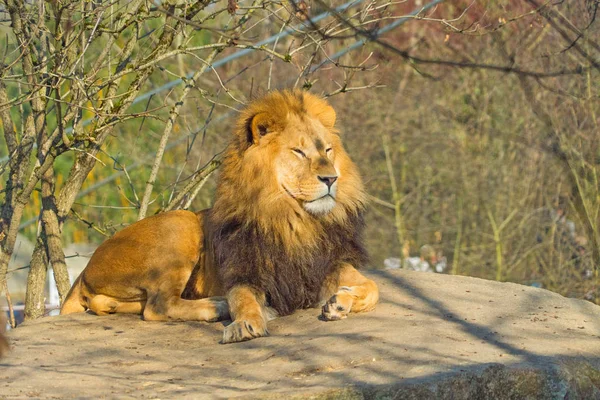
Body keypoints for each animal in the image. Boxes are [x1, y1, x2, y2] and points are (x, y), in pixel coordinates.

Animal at [62, 90, 380, 344]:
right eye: (298, 152)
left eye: (328, 149)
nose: (331, 178)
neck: (295, 220)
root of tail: (86, 267)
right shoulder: (246, 272)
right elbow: (243, 300)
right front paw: (245, 323)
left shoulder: (328, 265)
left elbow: (373, 288)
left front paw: (341, 302)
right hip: (181, 224)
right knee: (158, 306)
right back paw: (218, 306)